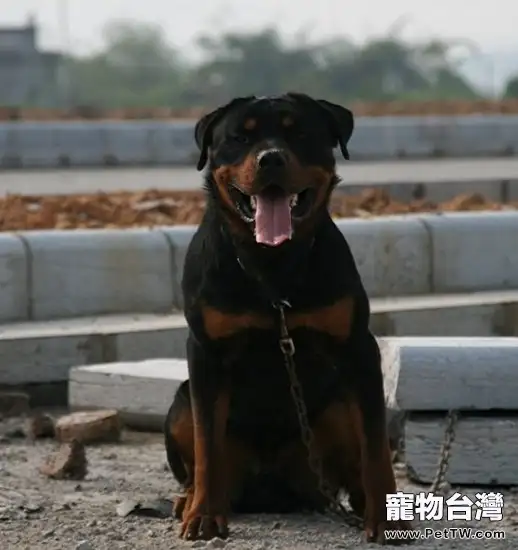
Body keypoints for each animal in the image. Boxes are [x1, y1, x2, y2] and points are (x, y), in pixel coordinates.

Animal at [165, 92, 412, 544]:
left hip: (335, 406)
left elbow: (375, 447)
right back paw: (188, 499)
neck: (272, 266)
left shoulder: (359, 349)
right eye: (240, 137)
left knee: (352, 460)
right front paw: (204, 514)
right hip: (180, 402)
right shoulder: (205, 353)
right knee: (196, 449)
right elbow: (207, 443)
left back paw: (361, 500)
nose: (271, 159)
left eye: (299, 133)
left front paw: (387, 518)